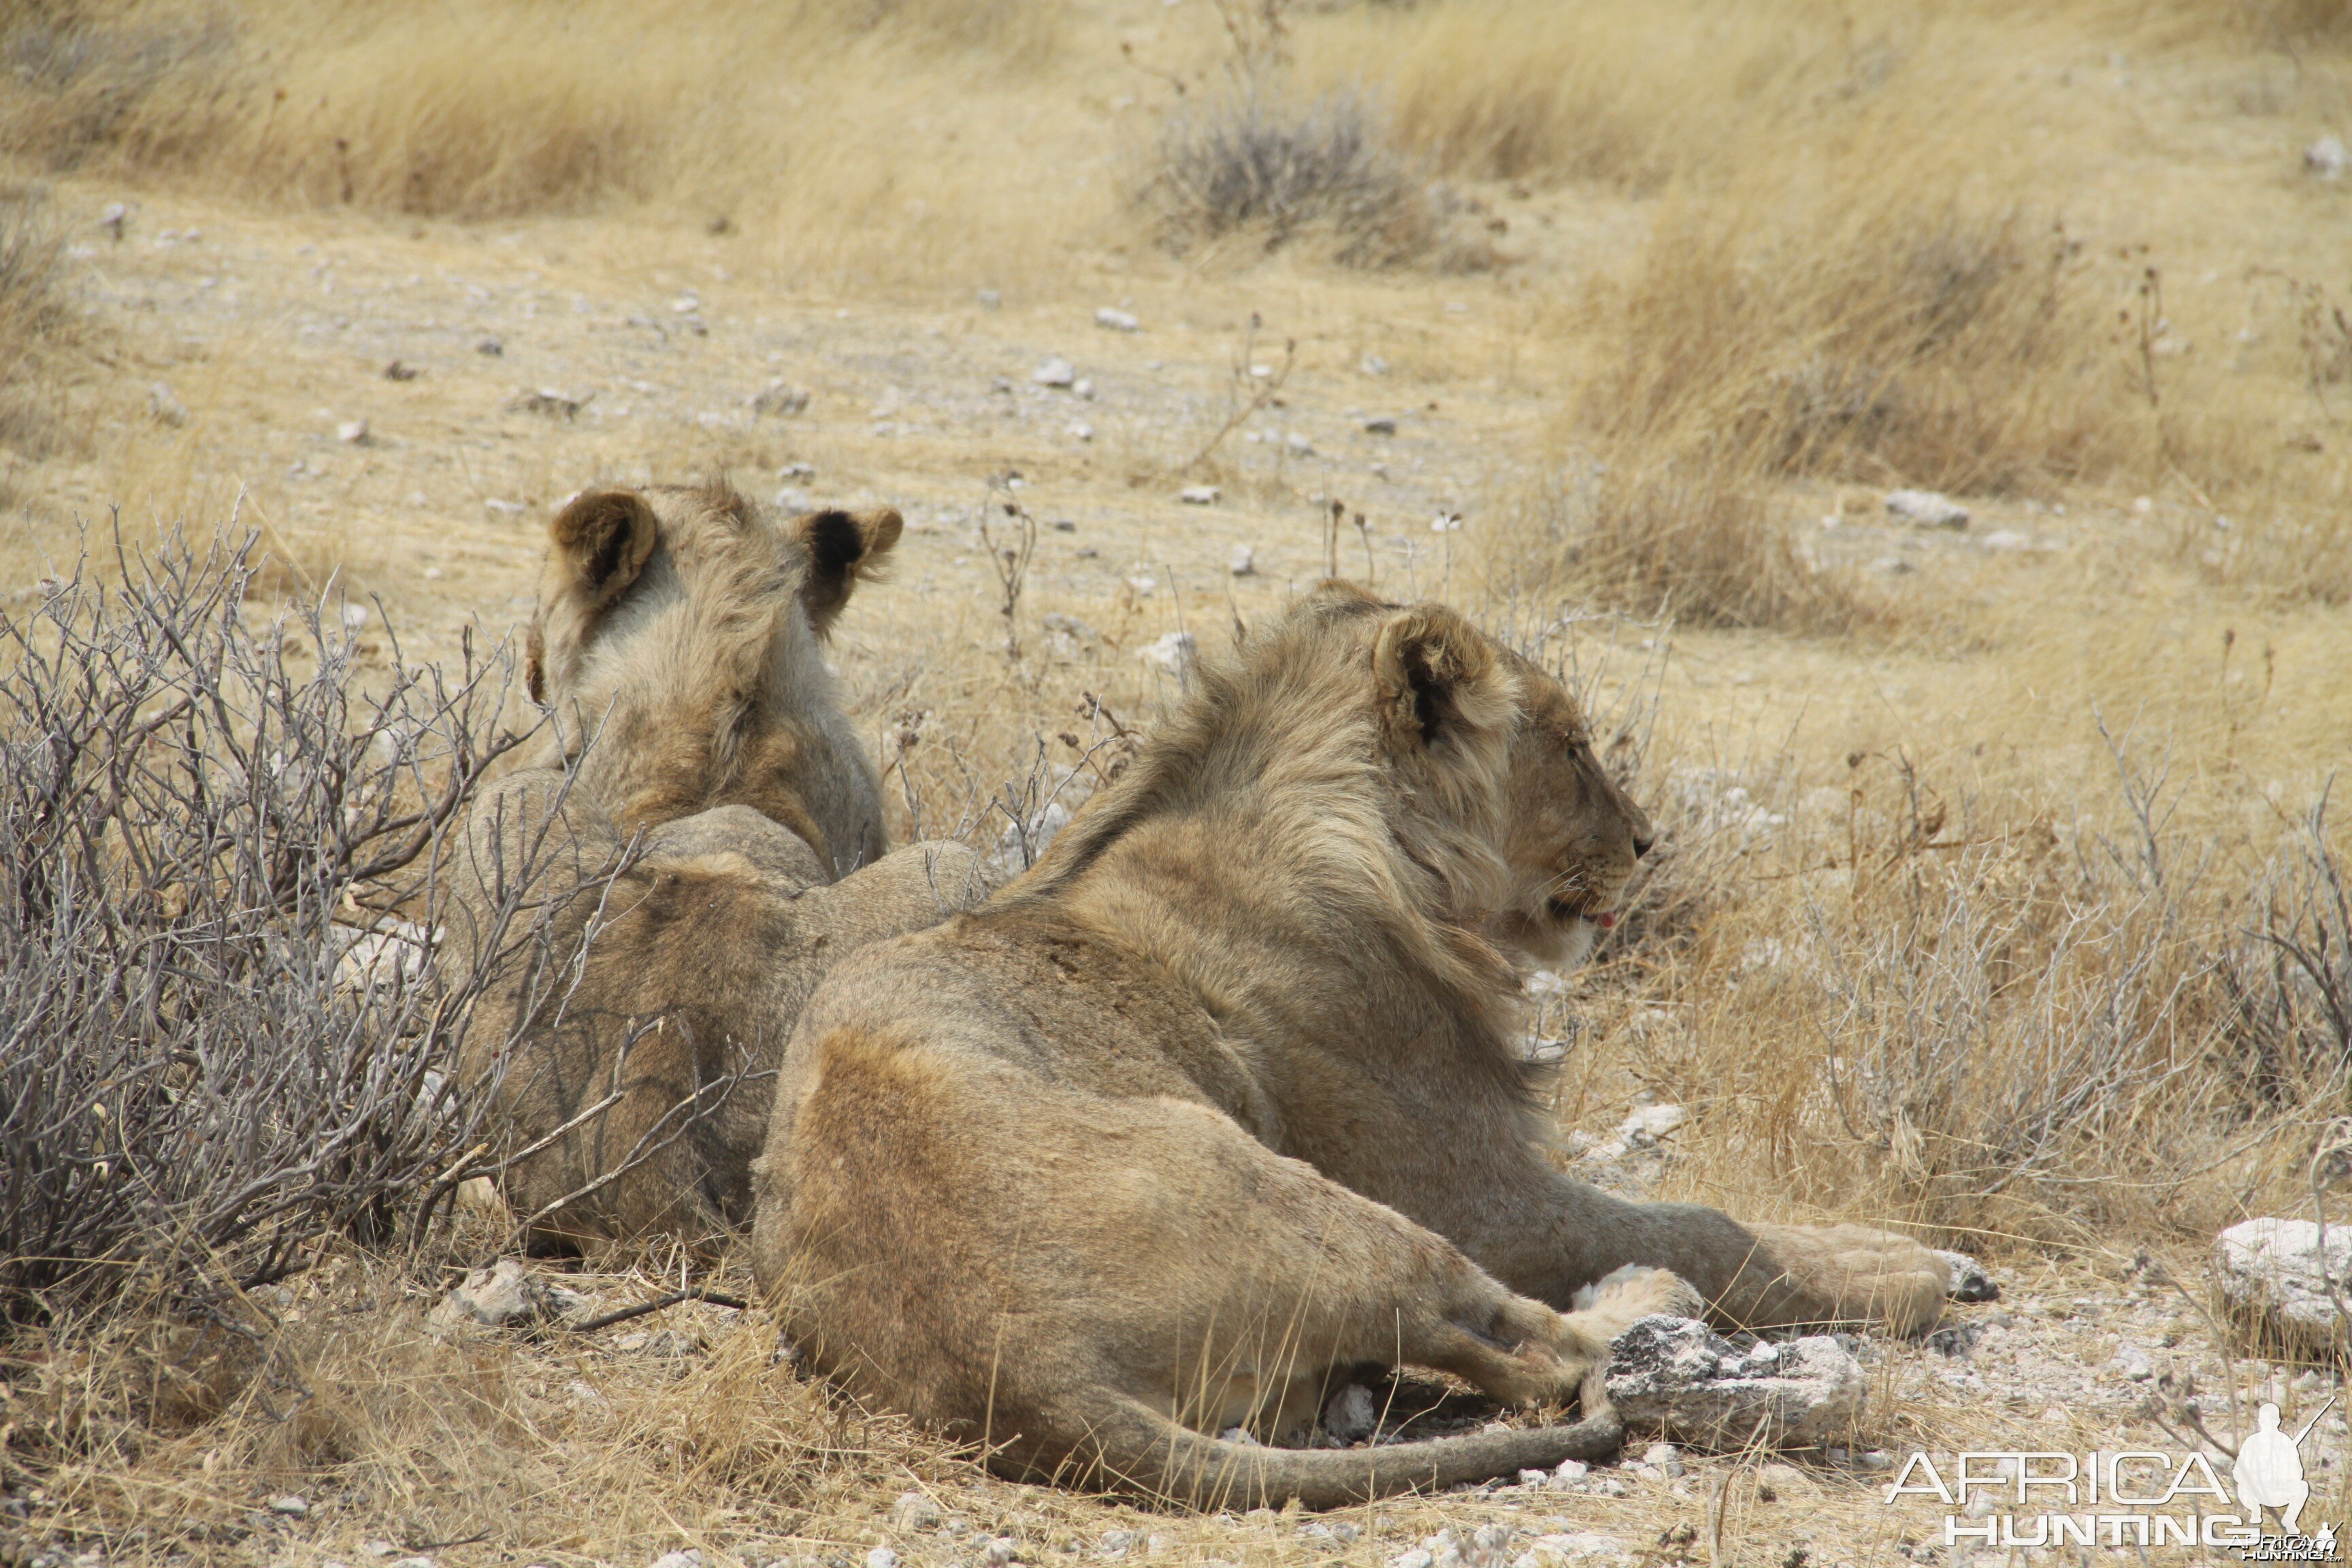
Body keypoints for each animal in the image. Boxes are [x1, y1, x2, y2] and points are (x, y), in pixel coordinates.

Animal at [748, 585, 1947, 1504]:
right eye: (1571, 750)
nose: (1648, 843)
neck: (1375, 850)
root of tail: (1030, 1372)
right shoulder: (1478, 1195)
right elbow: (1711, 1225)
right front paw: (1916, 1267)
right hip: (1317, 1200)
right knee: (1546, 1354)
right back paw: (1644, 1298)